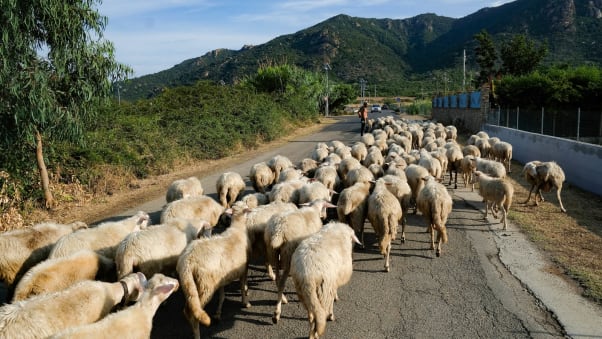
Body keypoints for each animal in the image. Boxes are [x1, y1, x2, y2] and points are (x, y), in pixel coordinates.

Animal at [177, 205, 252, 339]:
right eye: (246, 208)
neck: (238, 228)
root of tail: (187, 261)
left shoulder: (221, 276)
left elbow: (222, 294)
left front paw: (218, 312)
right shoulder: (244, 269)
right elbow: (243, 287)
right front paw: (245, 302)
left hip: (192, 285)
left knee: (187, 309)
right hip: (205, 285)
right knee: (193, 313)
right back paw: (197, 334)